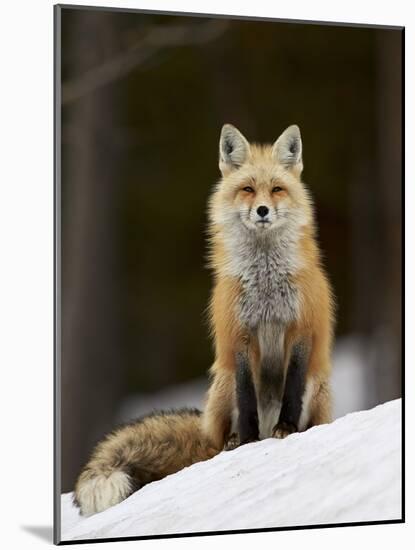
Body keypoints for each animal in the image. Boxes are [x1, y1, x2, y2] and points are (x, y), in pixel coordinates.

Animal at [72, 124, 334, 516]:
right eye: (247, 189)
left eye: (276, 189)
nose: (262, 210)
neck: (265, 281)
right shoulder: (238, 336)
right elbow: (246, 396)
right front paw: (249, 441)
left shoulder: (301, 329)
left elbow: (291, 388)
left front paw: (286, 429)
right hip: (221, 384)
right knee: (219, 435)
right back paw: (232, 442)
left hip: (317, 387)